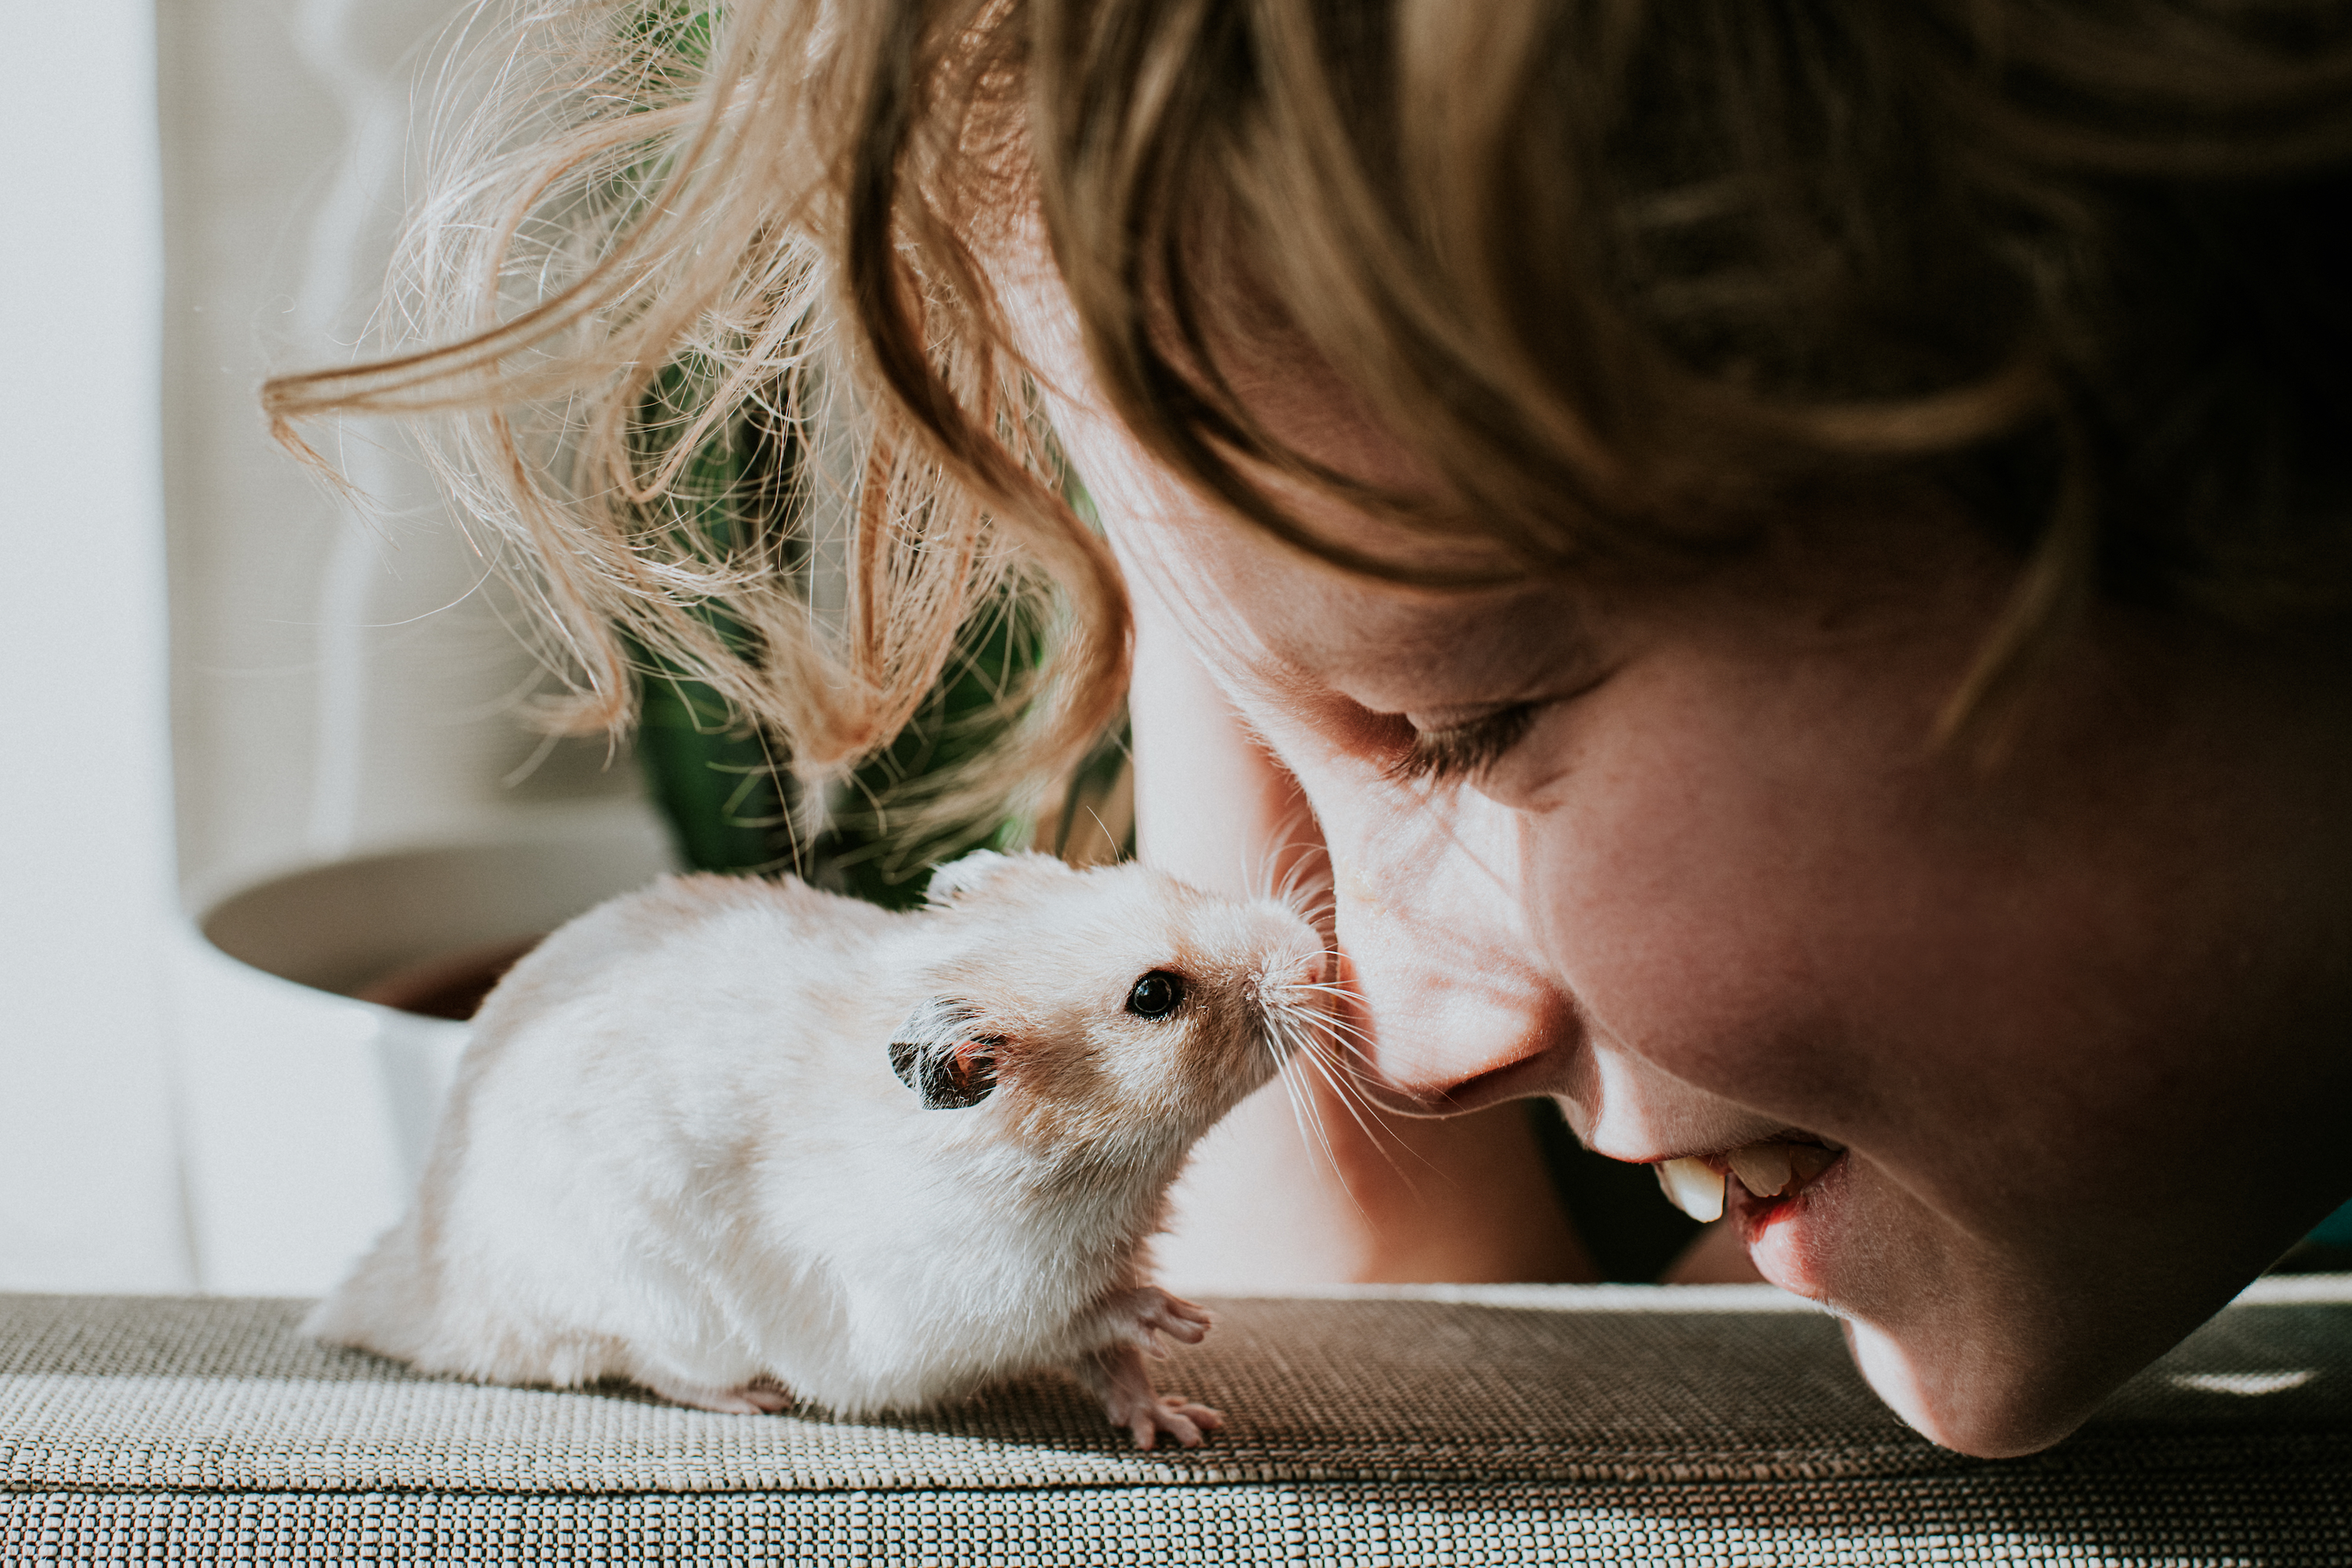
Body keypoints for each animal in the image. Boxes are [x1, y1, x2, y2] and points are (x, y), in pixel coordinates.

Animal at [307, 850, 1328, 1448]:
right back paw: (751, 1400)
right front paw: (1184, 1318)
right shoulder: (972, 1301)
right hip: (650, 1297)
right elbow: (1090, 1317)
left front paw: (1182, 1423)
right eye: (1155, 995)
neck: (1097, 1170)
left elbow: (1113, 1364)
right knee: (644, 1362)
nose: (1316, 952)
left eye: (1158, 875)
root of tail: (413, 1284)